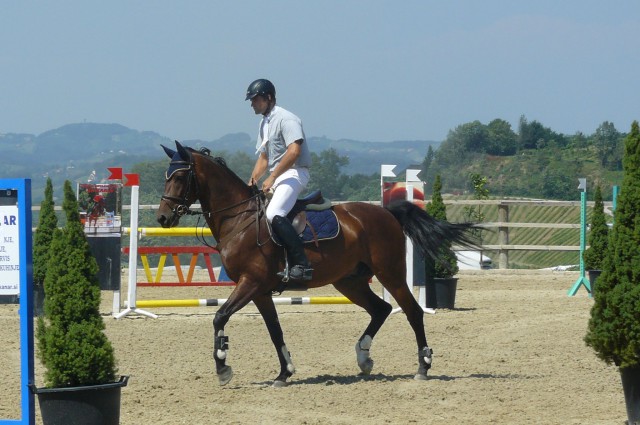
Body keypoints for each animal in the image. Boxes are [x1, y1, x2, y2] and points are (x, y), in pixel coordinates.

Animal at [155, 141, 476, 386]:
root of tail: (386, 213)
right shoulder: (260, 291)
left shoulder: (251, 283)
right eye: (166, 175)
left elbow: (219, 316)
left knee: (412, 312)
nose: (163, 217)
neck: (240, 219)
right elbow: (274, 330)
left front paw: (223, 367)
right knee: (381, 309)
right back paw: (363, 356)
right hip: (349, 281)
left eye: (180, 177)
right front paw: (284, 373)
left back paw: (423, 365)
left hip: (390, 274)